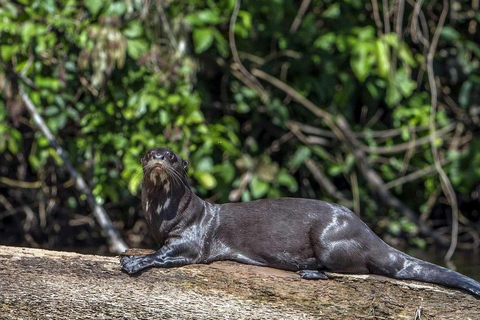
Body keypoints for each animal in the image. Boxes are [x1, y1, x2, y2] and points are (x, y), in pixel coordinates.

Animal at [121, 148, 480, 298]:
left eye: (170, 156)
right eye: (149, 153)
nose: (158, 158)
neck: (165, 213)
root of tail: (369, 233)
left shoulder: (193, 237)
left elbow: (170, 252)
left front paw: (136, 261)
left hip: (329, 240)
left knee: (354, 269)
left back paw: (308, 269)